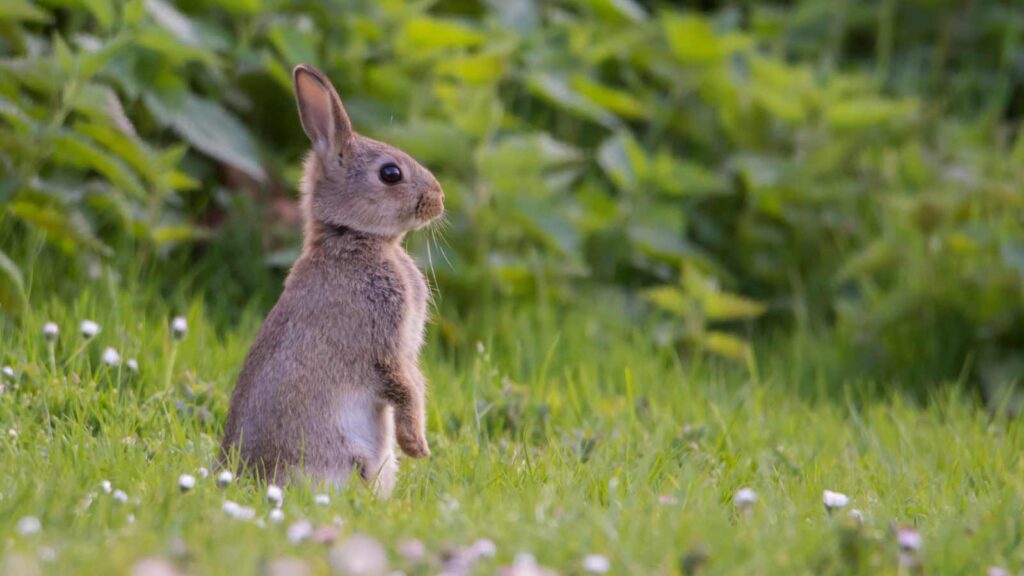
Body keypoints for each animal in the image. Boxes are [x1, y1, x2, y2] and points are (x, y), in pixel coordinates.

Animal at [220, 64, 444, 496]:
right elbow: (404, 386)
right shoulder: (383, 342)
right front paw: (417, 446)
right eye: (390, 173)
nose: (439, 199)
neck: (353, 238)